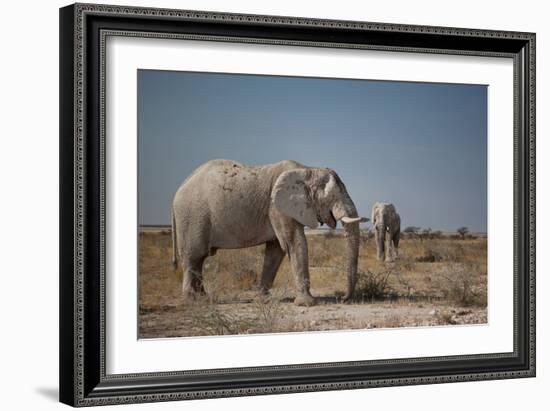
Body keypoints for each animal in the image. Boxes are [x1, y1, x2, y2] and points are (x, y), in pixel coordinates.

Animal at [171, 160, 370, 306]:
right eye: (332, 198)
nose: (343, 299)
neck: (306, 170)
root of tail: (179, 188)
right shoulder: (277, 207)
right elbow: (294, 243)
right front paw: (307, 303)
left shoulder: (278, 209)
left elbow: (276, 250)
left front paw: (263, 300)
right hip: (191, 217)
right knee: (193, 257)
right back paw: (192, 301)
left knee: (198, 260)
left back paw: (204, 298)